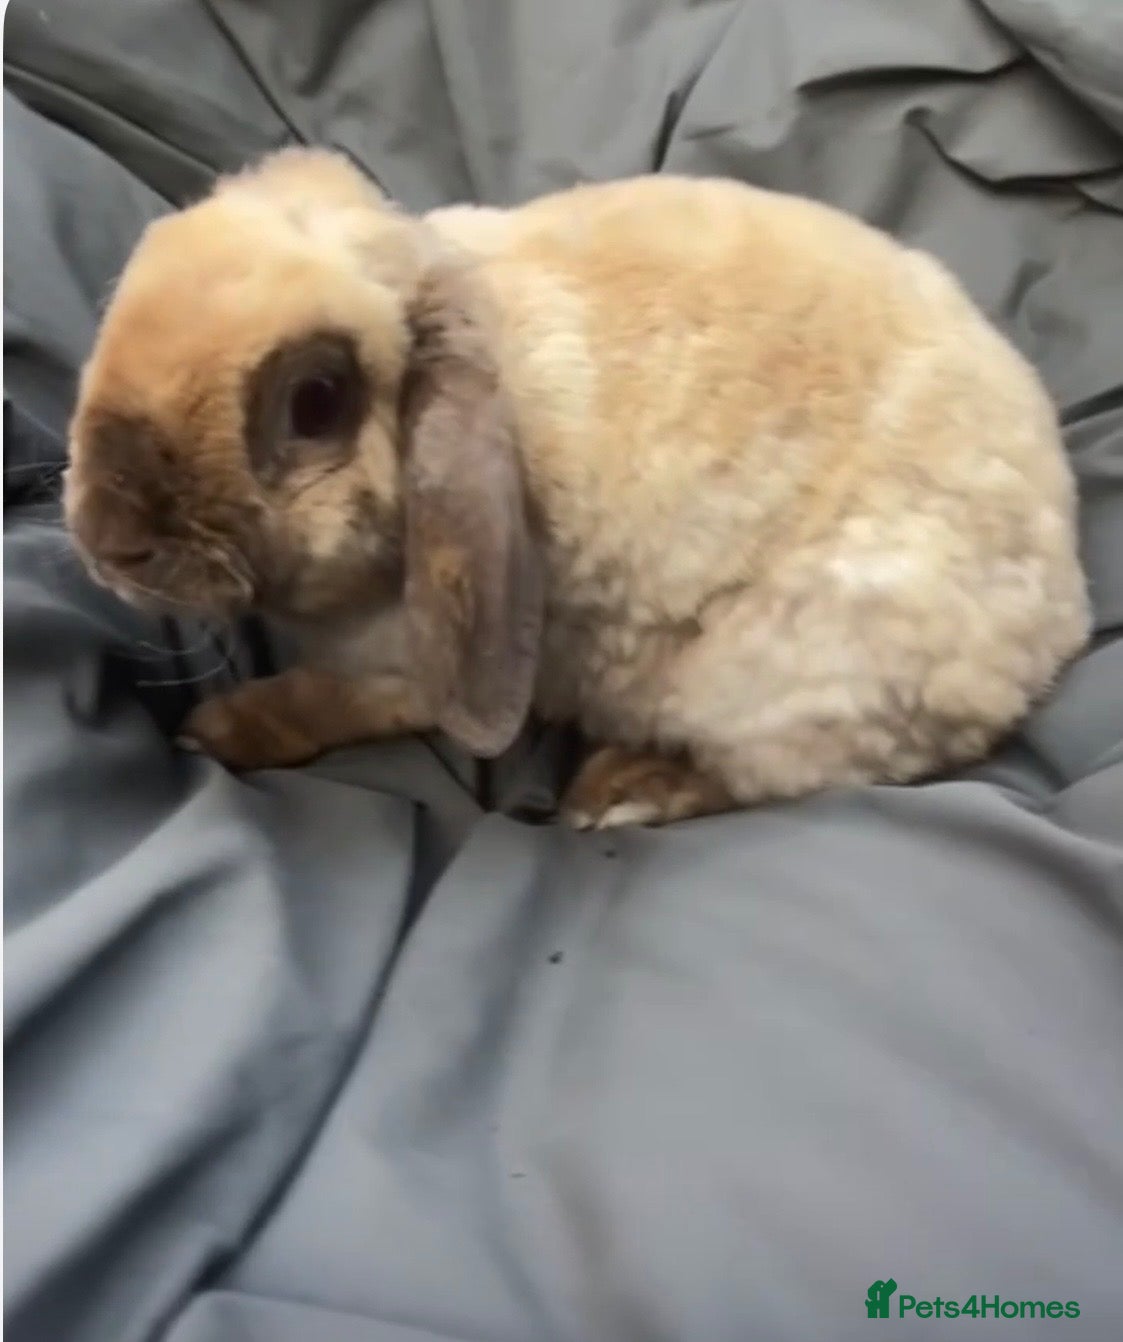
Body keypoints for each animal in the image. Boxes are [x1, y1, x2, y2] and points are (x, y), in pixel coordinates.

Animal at [64, 148, 1090, 829]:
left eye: (316, 401)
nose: (105, 538)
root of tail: (1059, 622)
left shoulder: (402, 675)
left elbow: (314, 702)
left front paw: (214, 732)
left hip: (771, 694)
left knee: (772, 777)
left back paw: (621, 793)